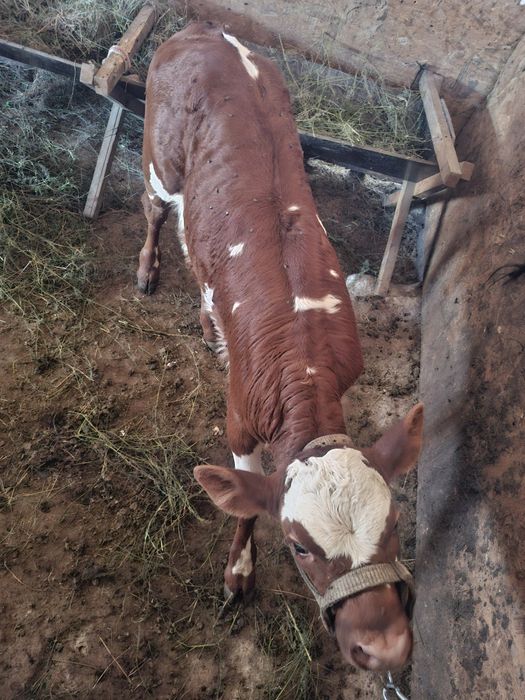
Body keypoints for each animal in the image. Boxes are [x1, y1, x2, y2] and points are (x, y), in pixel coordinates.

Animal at [138, 21, 424, 671]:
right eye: (299, 546)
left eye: (395, 522)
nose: (385, 648)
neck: (305, 361)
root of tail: (206, 29)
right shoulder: (241, 417)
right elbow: (244, 503)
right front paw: (240, 573)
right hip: (159, 160)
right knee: (156, 211)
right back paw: (147, 269)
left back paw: (206, 321)